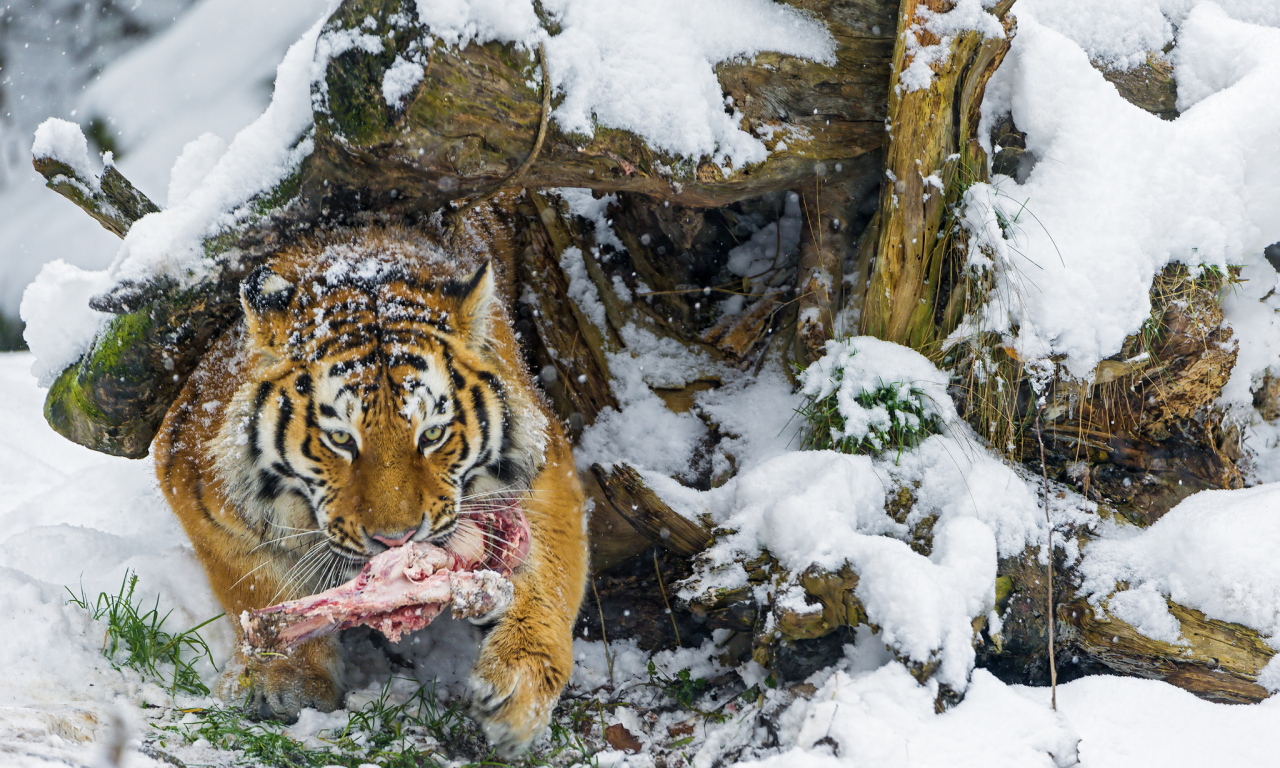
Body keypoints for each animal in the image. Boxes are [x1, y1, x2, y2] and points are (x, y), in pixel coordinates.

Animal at [154, 225, 588, 752]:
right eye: (341, 439)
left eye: (432, 435)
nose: (395, 540)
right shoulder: (200, 488)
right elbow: (254, 587)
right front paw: (284, 680)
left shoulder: (546, 467)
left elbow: (551, 578)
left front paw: (518, 692)